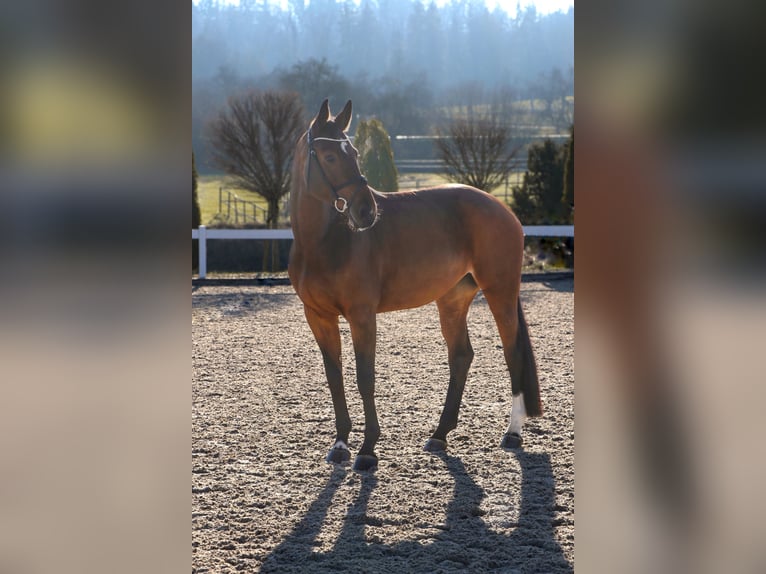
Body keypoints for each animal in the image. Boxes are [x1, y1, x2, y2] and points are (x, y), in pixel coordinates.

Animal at [290, 100, 544, 472]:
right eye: (330, 156)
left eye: (354, 152)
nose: (366, 211)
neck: (322, 243)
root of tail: (501, 208)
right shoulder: (318, 316)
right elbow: (334, 377)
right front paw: (340, 444)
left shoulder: (362, 316)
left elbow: (365, 377)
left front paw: (368, 449)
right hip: (452, 300)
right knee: (461, 356)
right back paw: (440, 435)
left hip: (500, 292)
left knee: (512, 354)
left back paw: (512, 433)